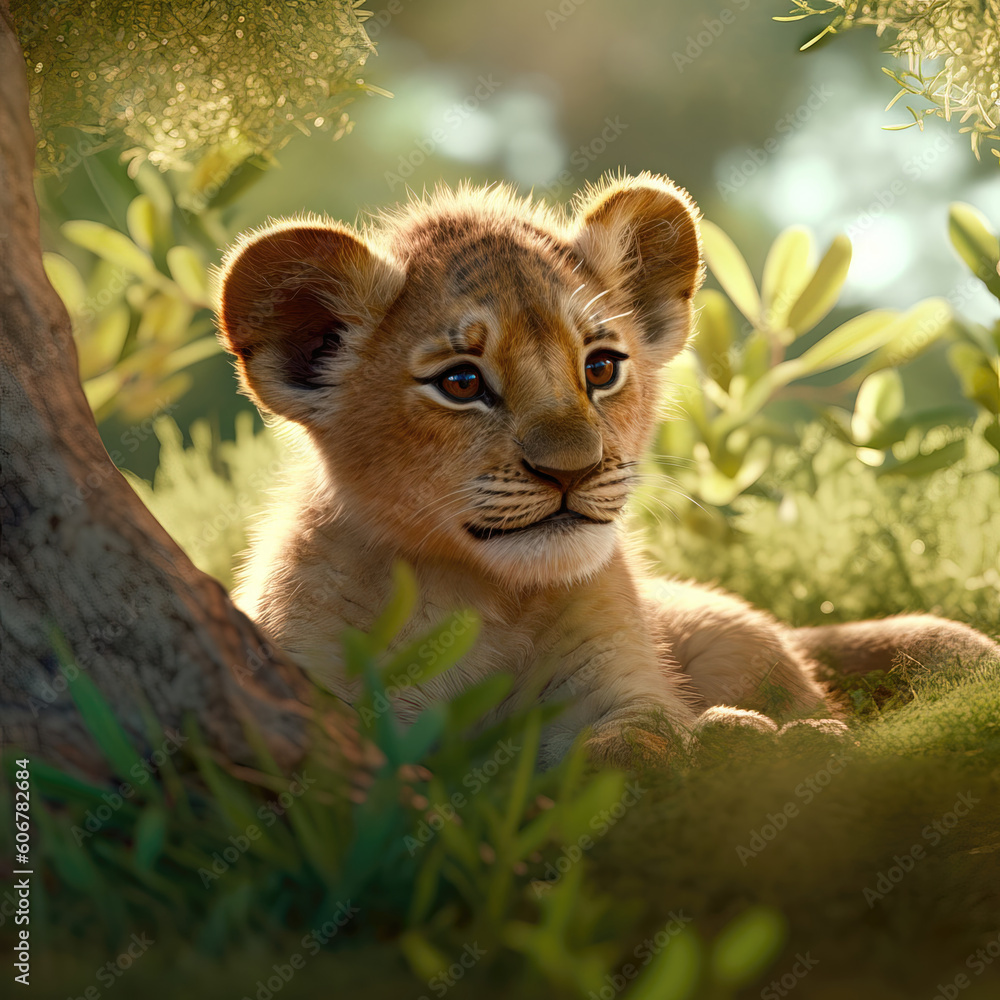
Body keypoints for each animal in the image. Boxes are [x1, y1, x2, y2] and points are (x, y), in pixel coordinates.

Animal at [216, 172, 999, 767]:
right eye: (461, 383)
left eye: (600, 367)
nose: (573, 470)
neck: (476, 597)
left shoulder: (618, 679)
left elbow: (634, 738)